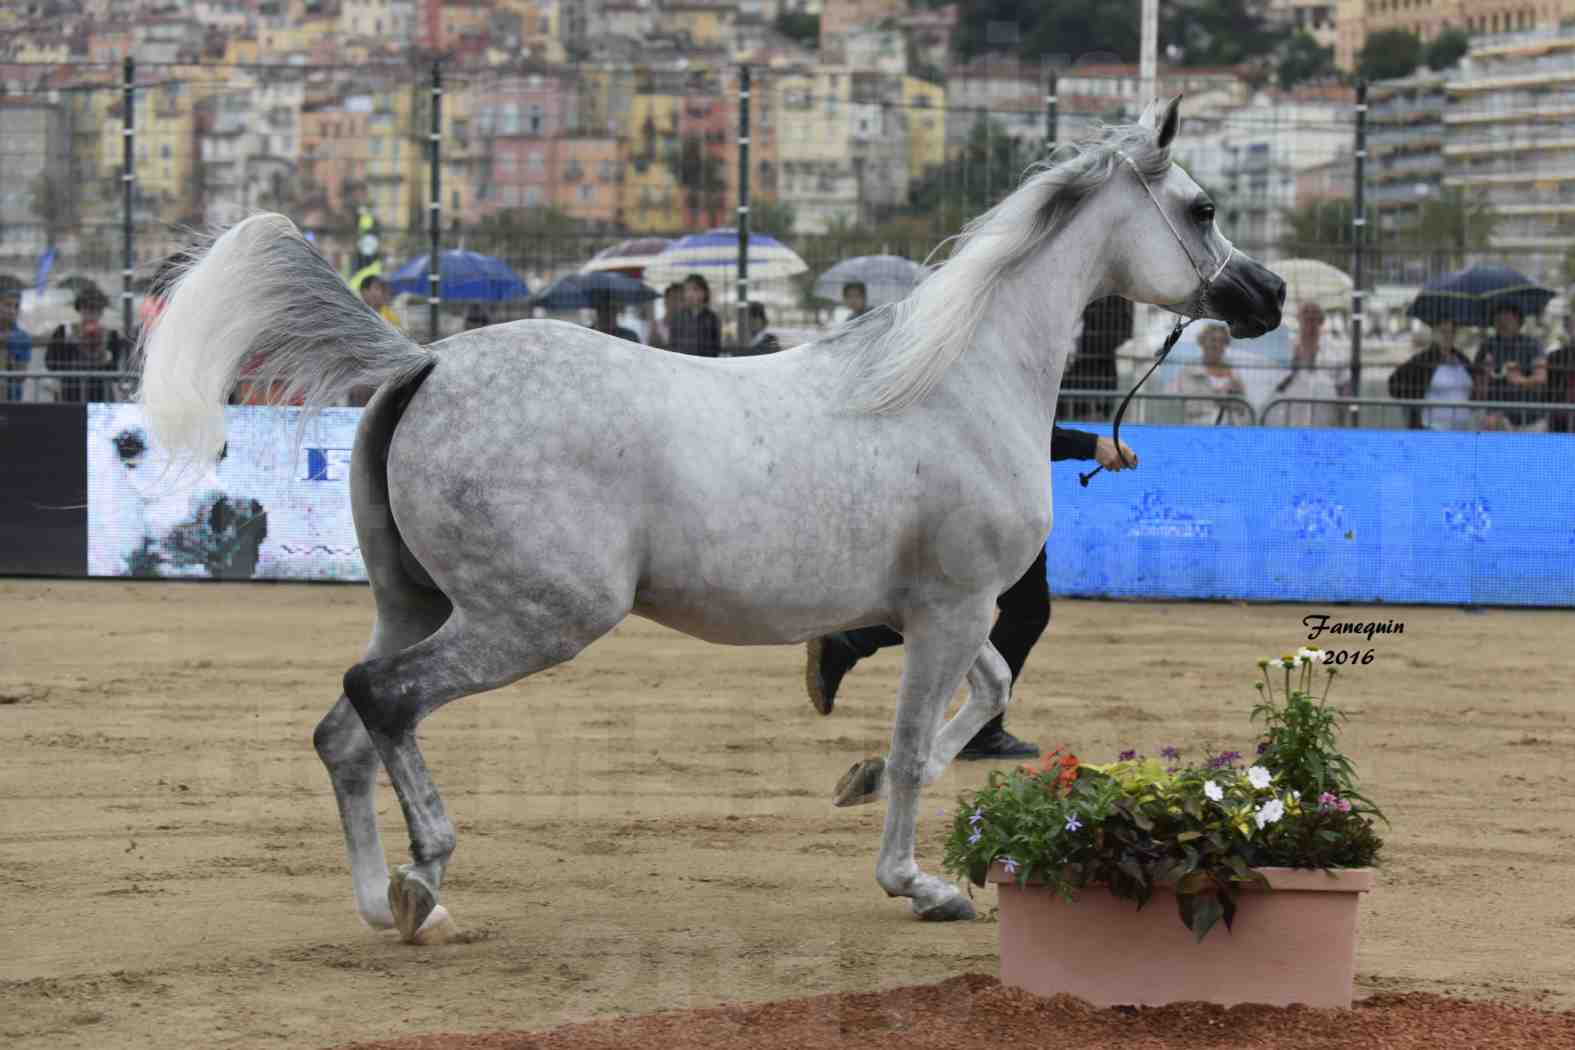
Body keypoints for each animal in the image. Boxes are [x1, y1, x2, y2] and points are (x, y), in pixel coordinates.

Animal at [138, 100, 1278, 944]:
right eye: (1202, 205)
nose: (1263, 296)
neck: (955, 380)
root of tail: (426, 362)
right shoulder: (955, 607)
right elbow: (921, 746)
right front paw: (921, 884)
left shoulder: (933, 612)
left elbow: (978, 700)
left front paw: (857, 785)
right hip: (534, 618)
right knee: (385, 700)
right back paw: (427, 877)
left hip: (416, 601)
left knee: (343, 728)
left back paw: (386, 904)